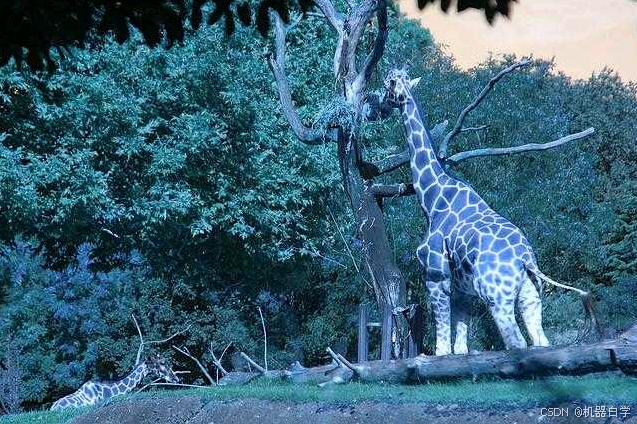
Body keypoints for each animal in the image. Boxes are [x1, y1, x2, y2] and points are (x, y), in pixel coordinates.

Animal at [382, 68, 591, 356]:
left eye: (387, 85)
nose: (381, 105)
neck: (433, 198)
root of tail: (526, 259)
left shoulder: (436, 277)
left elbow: (442, 349)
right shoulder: (463, 291)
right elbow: (460, 349)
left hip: (496, 298)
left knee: (516, 343)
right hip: (530, 296)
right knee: (540, 341)